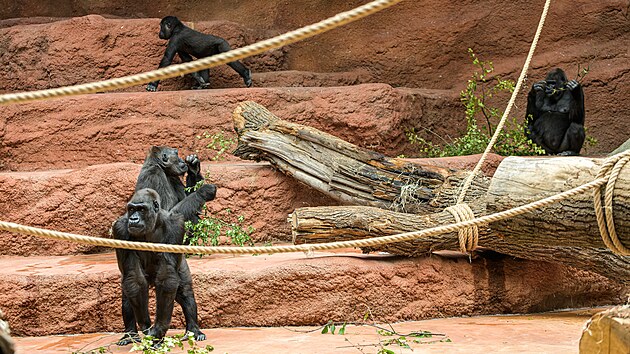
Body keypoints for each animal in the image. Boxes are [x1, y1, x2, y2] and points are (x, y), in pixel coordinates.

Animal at [111, 188, 215, 346]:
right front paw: (147, 326)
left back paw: (193, 330)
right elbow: (134, 279)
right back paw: (130, 335)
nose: (133, 219)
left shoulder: (176, 225)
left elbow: (167, 278)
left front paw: (158, 330)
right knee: (129, 292)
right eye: (131, 209)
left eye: (141, 209)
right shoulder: (120, 229)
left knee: (184, 291)